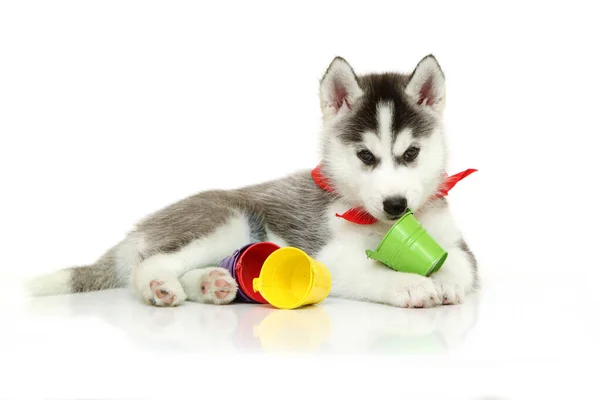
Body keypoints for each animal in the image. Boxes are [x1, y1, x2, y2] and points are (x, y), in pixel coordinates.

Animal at [28, 54, 478, 308]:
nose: (396, 206)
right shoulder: (327, 255)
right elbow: (373, 270)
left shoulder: (457, 246)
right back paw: (160, 288)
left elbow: (459, 265)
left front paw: (445, 283)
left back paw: (211, 285)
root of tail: (135, 233)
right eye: (365, 156)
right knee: (151, 263)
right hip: (230, 219)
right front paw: (411, 285)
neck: (378, 225)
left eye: (411, 153)